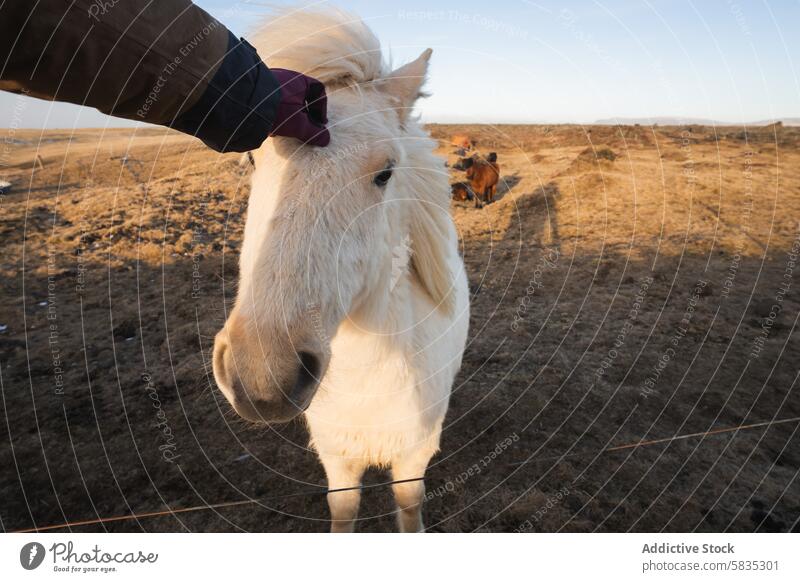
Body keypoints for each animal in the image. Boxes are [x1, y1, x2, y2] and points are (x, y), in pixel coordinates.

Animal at [212, 8, 472, 532]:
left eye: (386, 172)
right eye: (251, 158)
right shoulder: (337, 458)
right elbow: (343, 510)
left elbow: (409, 506)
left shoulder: (413, 455)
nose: (263, 375)